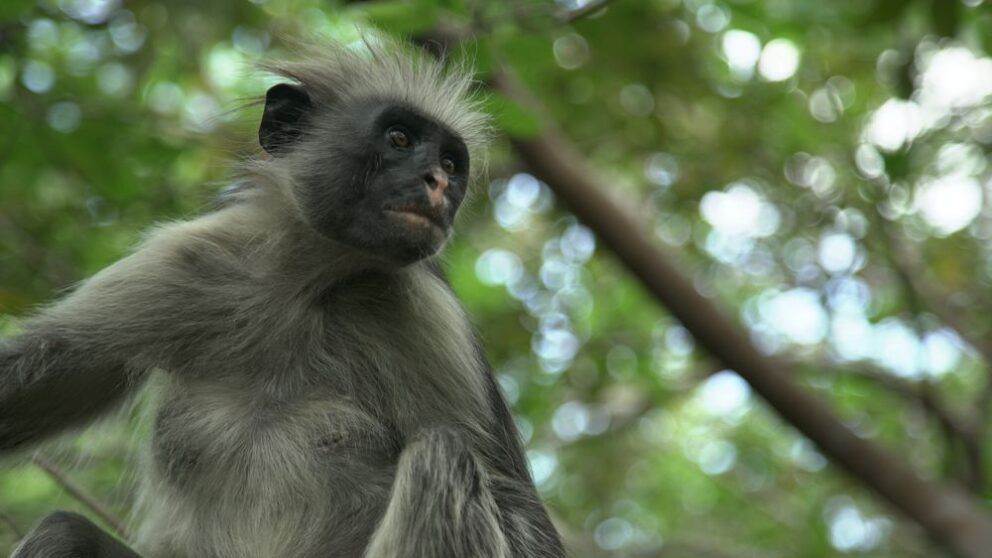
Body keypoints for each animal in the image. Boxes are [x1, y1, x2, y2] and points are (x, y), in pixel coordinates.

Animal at [0, 38, 566, 558]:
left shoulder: (423, 310)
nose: (438, 183)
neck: (307, 285)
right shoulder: (196, 258)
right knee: (63, 530)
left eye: (451, 163)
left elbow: (513, 501)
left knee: (442, 452)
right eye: (400, 138)